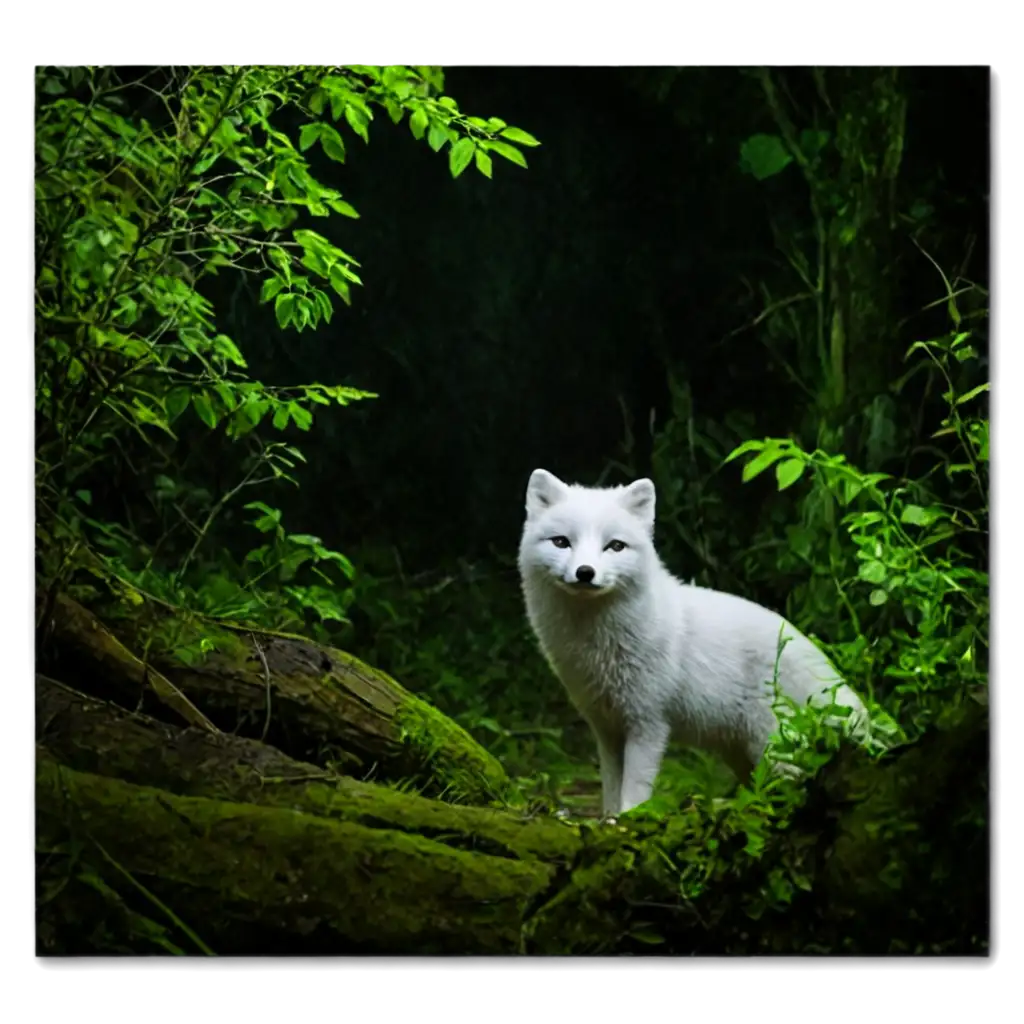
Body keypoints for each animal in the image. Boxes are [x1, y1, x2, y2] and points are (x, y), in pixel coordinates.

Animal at [516, 468, 868, 815]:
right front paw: (612, 822)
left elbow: (634, 792)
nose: (585, 572)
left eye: (614, 546)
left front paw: (630, 821)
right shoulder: (606, 729)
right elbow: (611, 793)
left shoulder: (649, 723)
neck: (597, 647)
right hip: (742, 755)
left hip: (771, 749)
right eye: (561, 542)